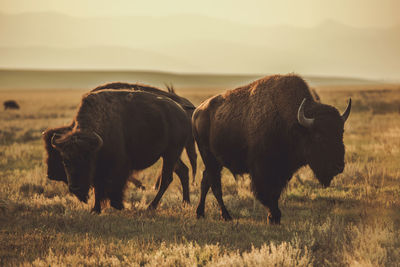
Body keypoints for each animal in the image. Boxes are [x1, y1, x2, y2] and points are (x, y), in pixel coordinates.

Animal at [48, 90, 192, 214]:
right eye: (65, 161)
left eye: (86, 160)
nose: (75, 187)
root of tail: (182, 111)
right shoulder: (99, 171)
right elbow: (97, 188)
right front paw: (95, 209)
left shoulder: (120, 166)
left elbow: (116, 186)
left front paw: (118, 206)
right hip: (171, 155)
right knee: (183, 171)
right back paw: (186, 203)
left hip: (171, 153)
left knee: (166, 178)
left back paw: (151, 206)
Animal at [192, 74, 352, 225]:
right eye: (319, 136)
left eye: (341, 132)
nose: (338, 166)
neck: (292, 124)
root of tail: (197, 111)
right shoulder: (262, 170)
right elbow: (267, 193)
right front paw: (274, 217)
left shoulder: (281, 171)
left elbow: (275, 192)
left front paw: (274, 217)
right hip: (209, 158)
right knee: (215, 185)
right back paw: (226, 216)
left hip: (215, 162)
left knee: (206, 181)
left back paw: (200, 213)